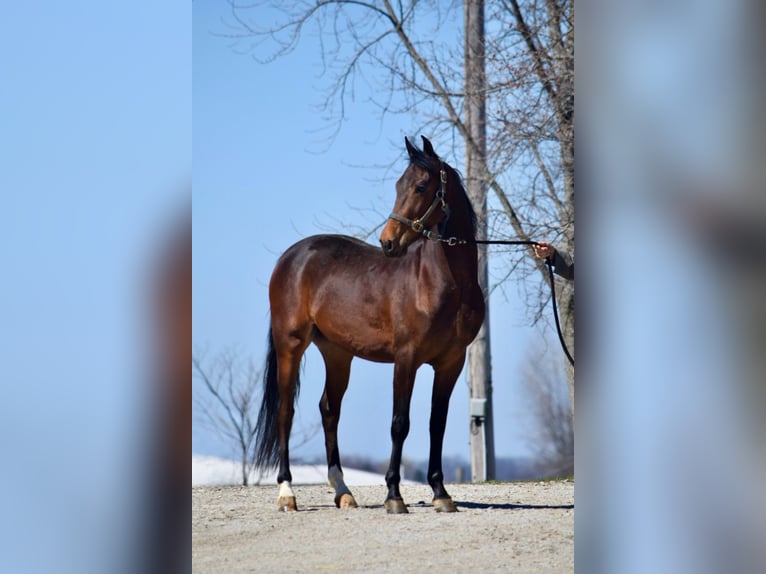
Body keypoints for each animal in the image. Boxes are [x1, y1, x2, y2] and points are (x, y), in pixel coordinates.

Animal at [254, 136, 485, 513]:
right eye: (398, 185)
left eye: (421, 186)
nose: (388, 242)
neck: (441, 283)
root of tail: (291, 257)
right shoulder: (406, 360)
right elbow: (400, 424)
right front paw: (394, 495)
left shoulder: (451, 362)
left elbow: (436, 424)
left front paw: (441, 493)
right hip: (291, 345)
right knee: (285, 411)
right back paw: (287, 493)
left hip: (337, 353)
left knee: (329, 410)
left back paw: (343, 492)